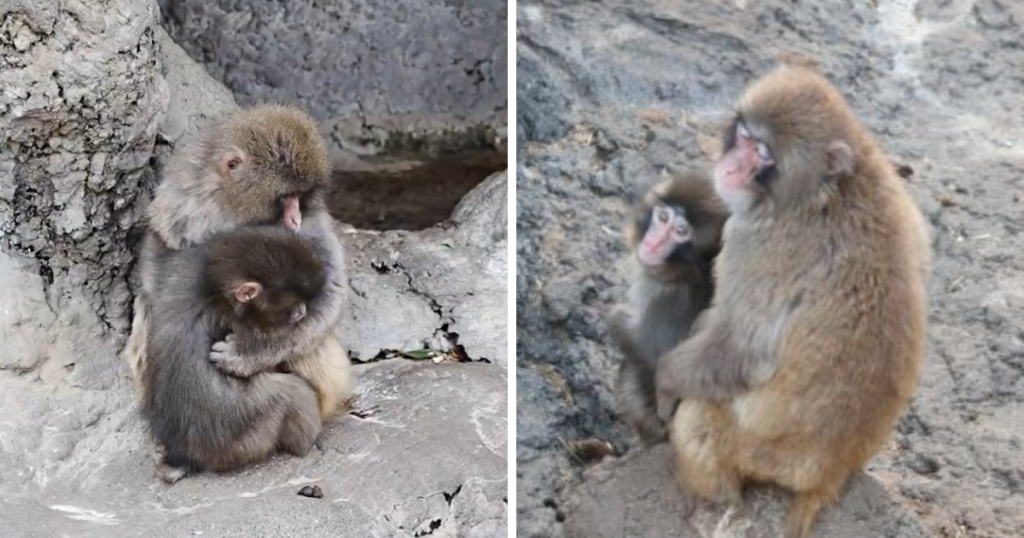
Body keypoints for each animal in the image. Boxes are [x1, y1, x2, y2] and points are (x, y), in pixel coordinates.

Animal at [124, 104, 352, 422]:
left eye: (302, 196)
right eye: (286, 197)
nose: (295, 219)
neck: (229, 212)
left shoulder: (310, 225)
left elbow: (329, 293)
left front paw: (247, 354)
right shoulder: (180, 208)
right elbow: (158, 264)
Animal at [142, 226, 332, 483]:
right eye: (292, 302)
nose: (302, 311)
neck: (214, 285)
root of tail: (188, 454)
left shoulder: (185, 265)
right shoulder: (237, 319)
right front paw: (243, 357)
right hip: (246, 437)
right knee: (291, 393)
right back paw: (306, 444)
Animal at [607, 171, 728, 445]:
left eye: (681, 231)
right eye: (663, 217)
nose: (653, 243)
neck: (679, 270)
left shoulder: (670, 300)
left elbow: (653, 356)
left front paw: (615, 316)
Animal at [653, 66, 931, 538]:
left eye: (762, 152)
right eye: (743, 136)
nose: (731, 166)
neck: (824, 190)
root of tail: (831, 473)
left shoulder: (753, 242)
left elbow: (742, 351)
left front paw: (663, 380)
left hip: (756, 451)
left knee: (698, 423)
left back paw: (717, 497)